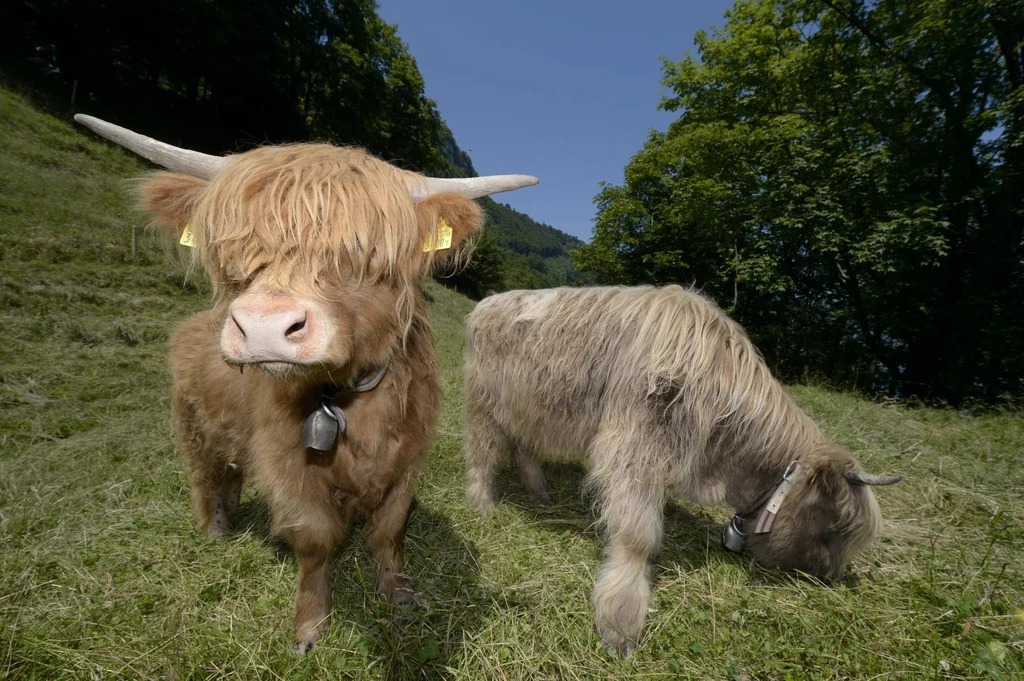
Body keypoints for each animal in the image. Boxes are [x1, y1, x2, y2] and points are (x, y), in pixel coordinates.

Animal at [76, 114, 540, 651]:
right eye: (237, 251)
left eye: (360, 253)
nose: (262, 325)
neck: (350, 402)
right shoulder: (287, 463)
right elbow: (317, 539)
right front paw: (311, 627)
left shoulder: (409, 458)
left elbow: (389, 530)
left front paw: (398, 593)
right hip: (192, 426)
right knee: (205, 475)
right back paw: (216, 528)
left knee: (232, 470)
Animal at [460, 280, 901, 655]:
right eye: (834, 528)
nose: (827, 577)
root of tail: (487, 302)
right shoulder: (633, 449)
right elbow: (637, 536)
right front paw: (621, 622)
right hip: (483, 403)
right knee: (483, 452)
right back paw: (483, 504)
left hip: (527, 407)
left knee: (523, 446)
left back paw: (539, 491)